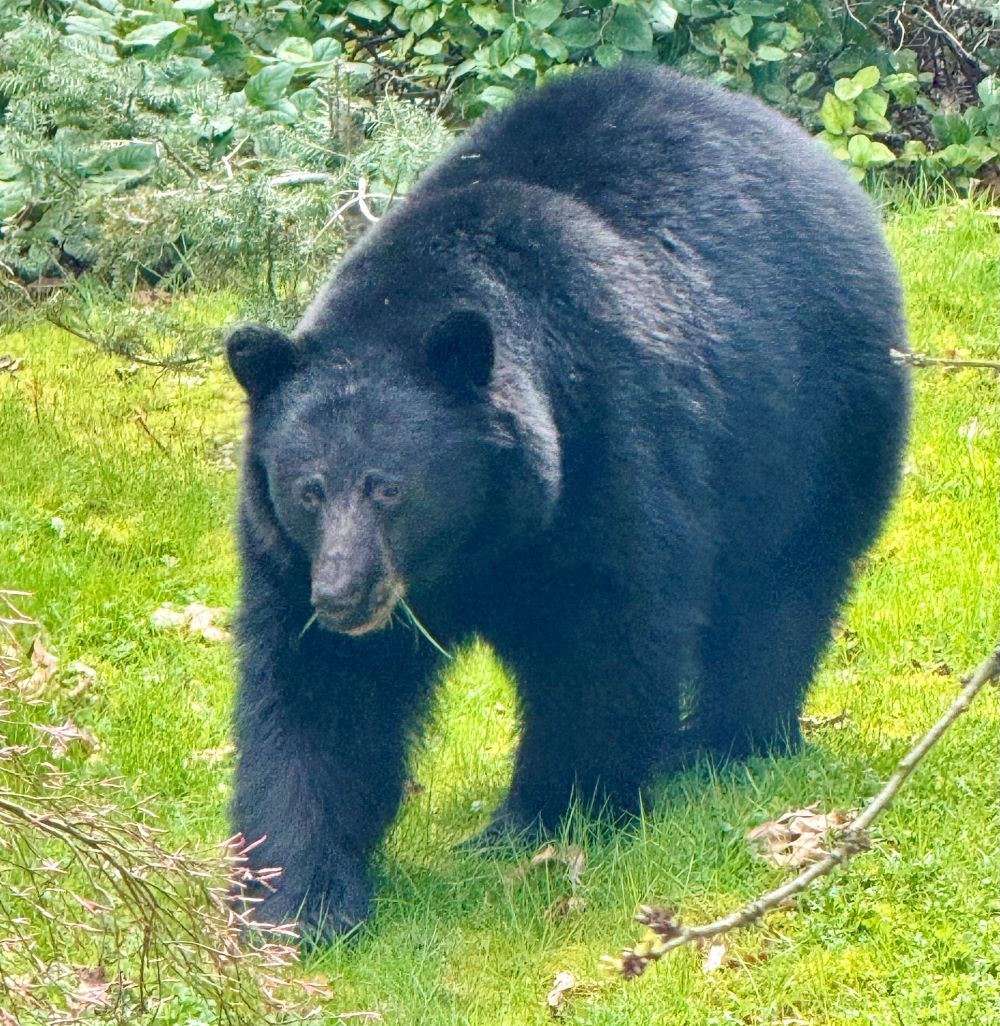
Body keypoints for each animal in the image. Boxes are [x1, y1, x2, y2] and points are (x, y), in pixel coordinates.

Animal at [225, 64, 910, 940]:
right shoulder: (287, 554)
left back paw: (726, 743)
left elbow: (605, 637)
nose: (342, 594)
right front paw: (296, 900)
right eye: (308, 490)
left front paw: (546, 816)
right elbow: (320, 693)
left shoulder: (605, 446)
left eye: (389, 485)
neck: (478, 543)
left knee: (779, 594)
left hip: (811, 423)